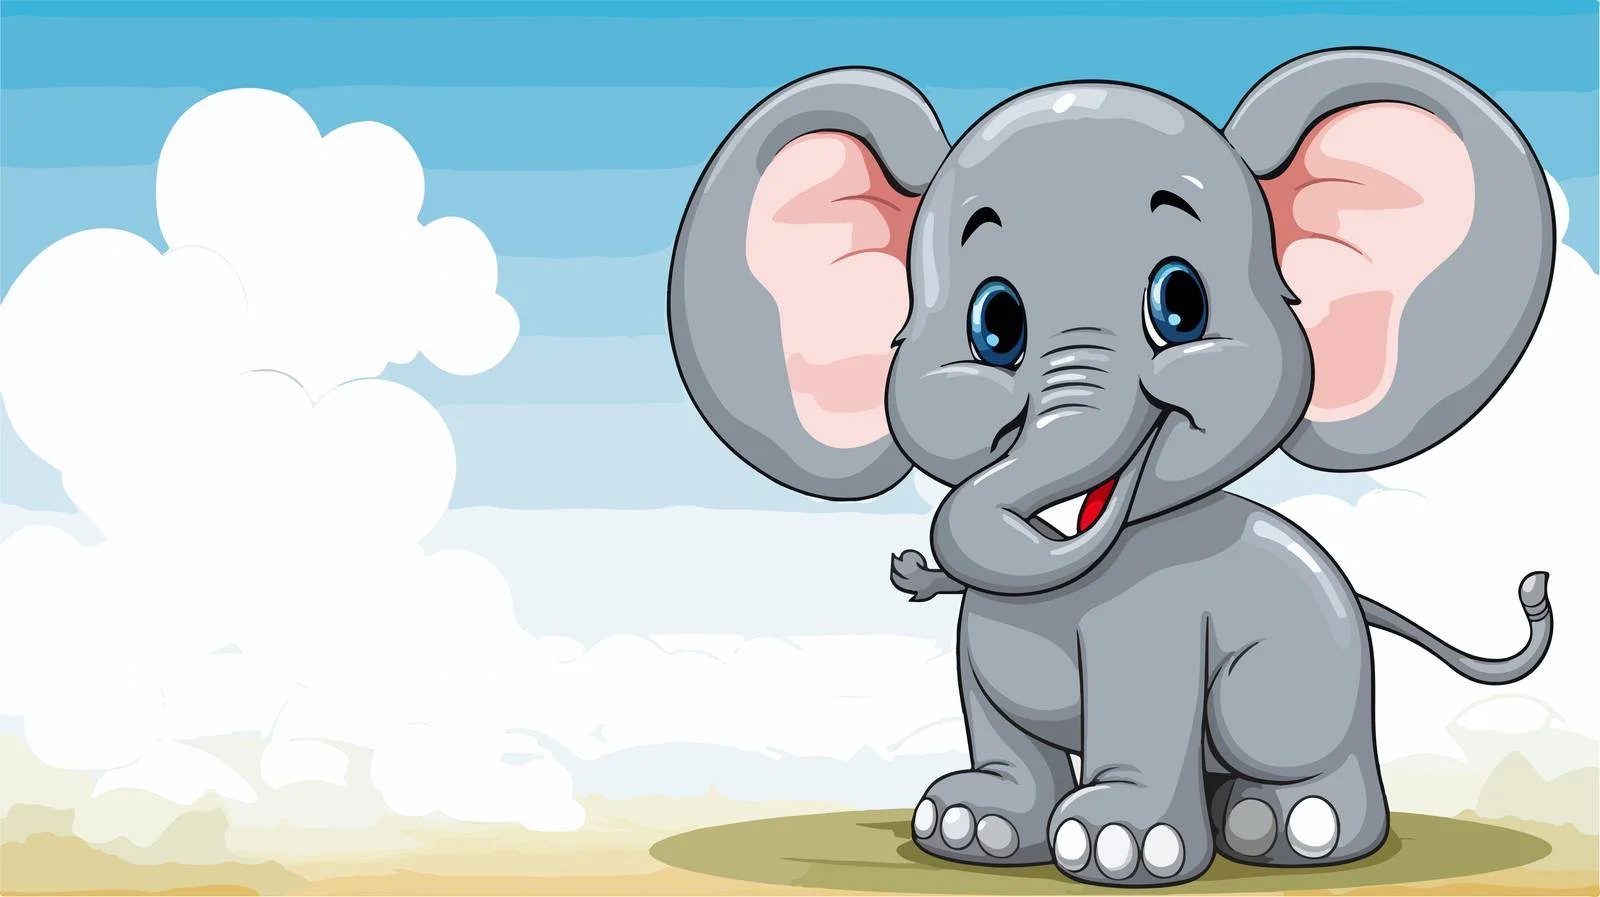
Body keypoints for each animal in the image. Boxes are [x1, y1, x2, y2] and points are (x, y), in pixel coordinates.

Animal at [666, 48, 1556, 886]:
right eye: (995, 324)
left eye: (1180, 304)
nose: (908, 564)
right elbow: (994, 715)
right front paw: (969, 826)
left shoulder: (1160, 618)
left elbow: (1142, 701)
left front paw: (1116, 847)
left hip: (1307, 675)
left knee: (1285, 739)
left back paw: (1292, 829)